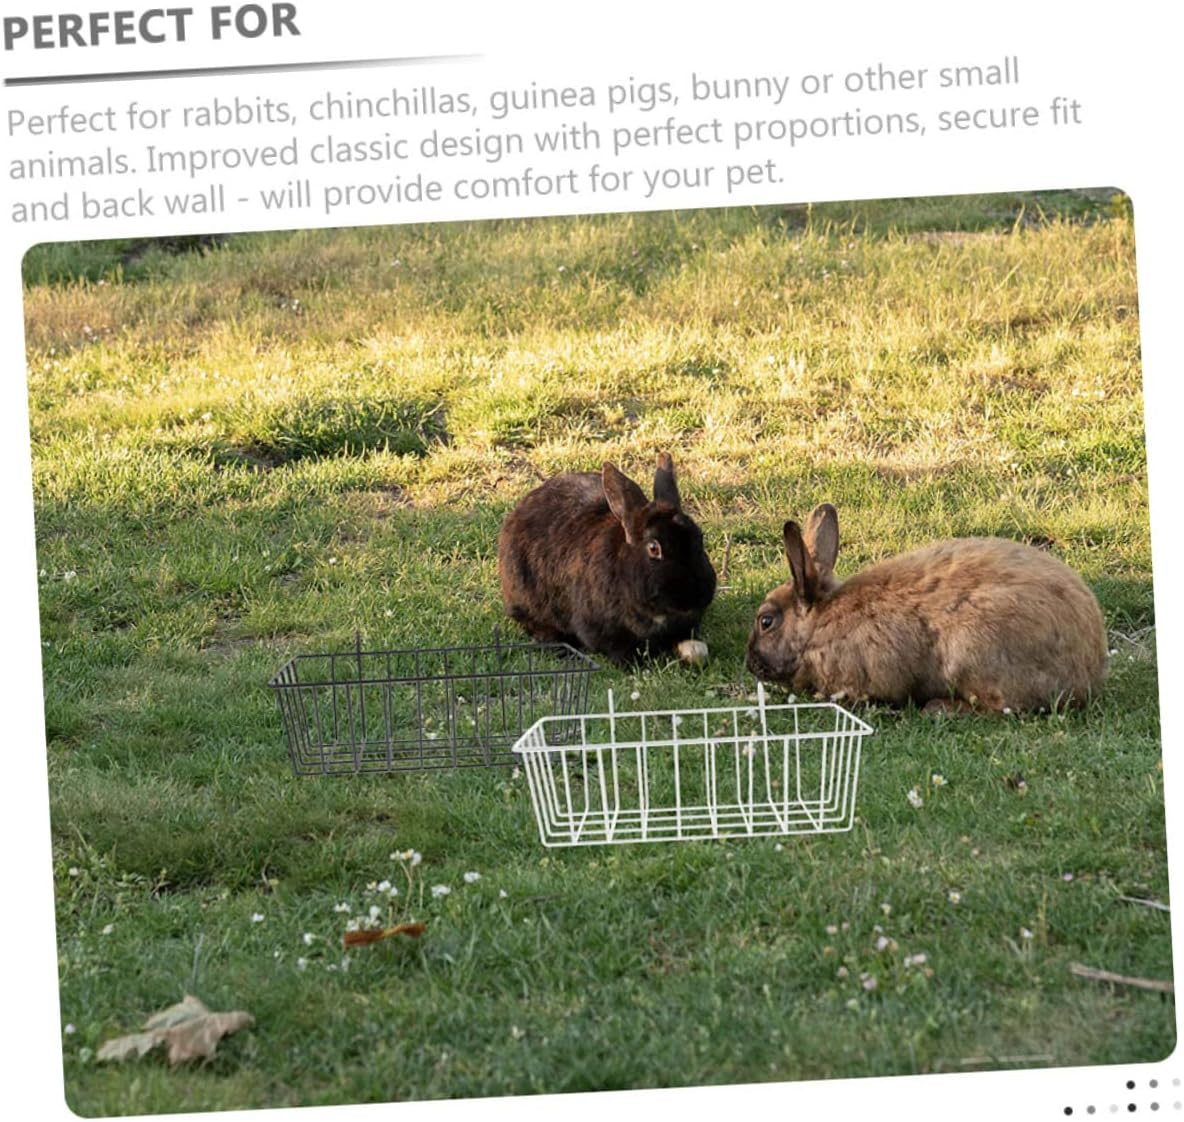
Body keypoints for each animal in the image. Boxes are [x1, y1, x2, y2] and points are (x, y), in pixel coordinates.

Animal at [746, 503, 1108, 713]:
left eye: (766, 621)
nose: (750, 665)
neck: (817, 625)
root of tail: (1088, 670)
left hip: (971, 653)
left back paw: (938, 707)